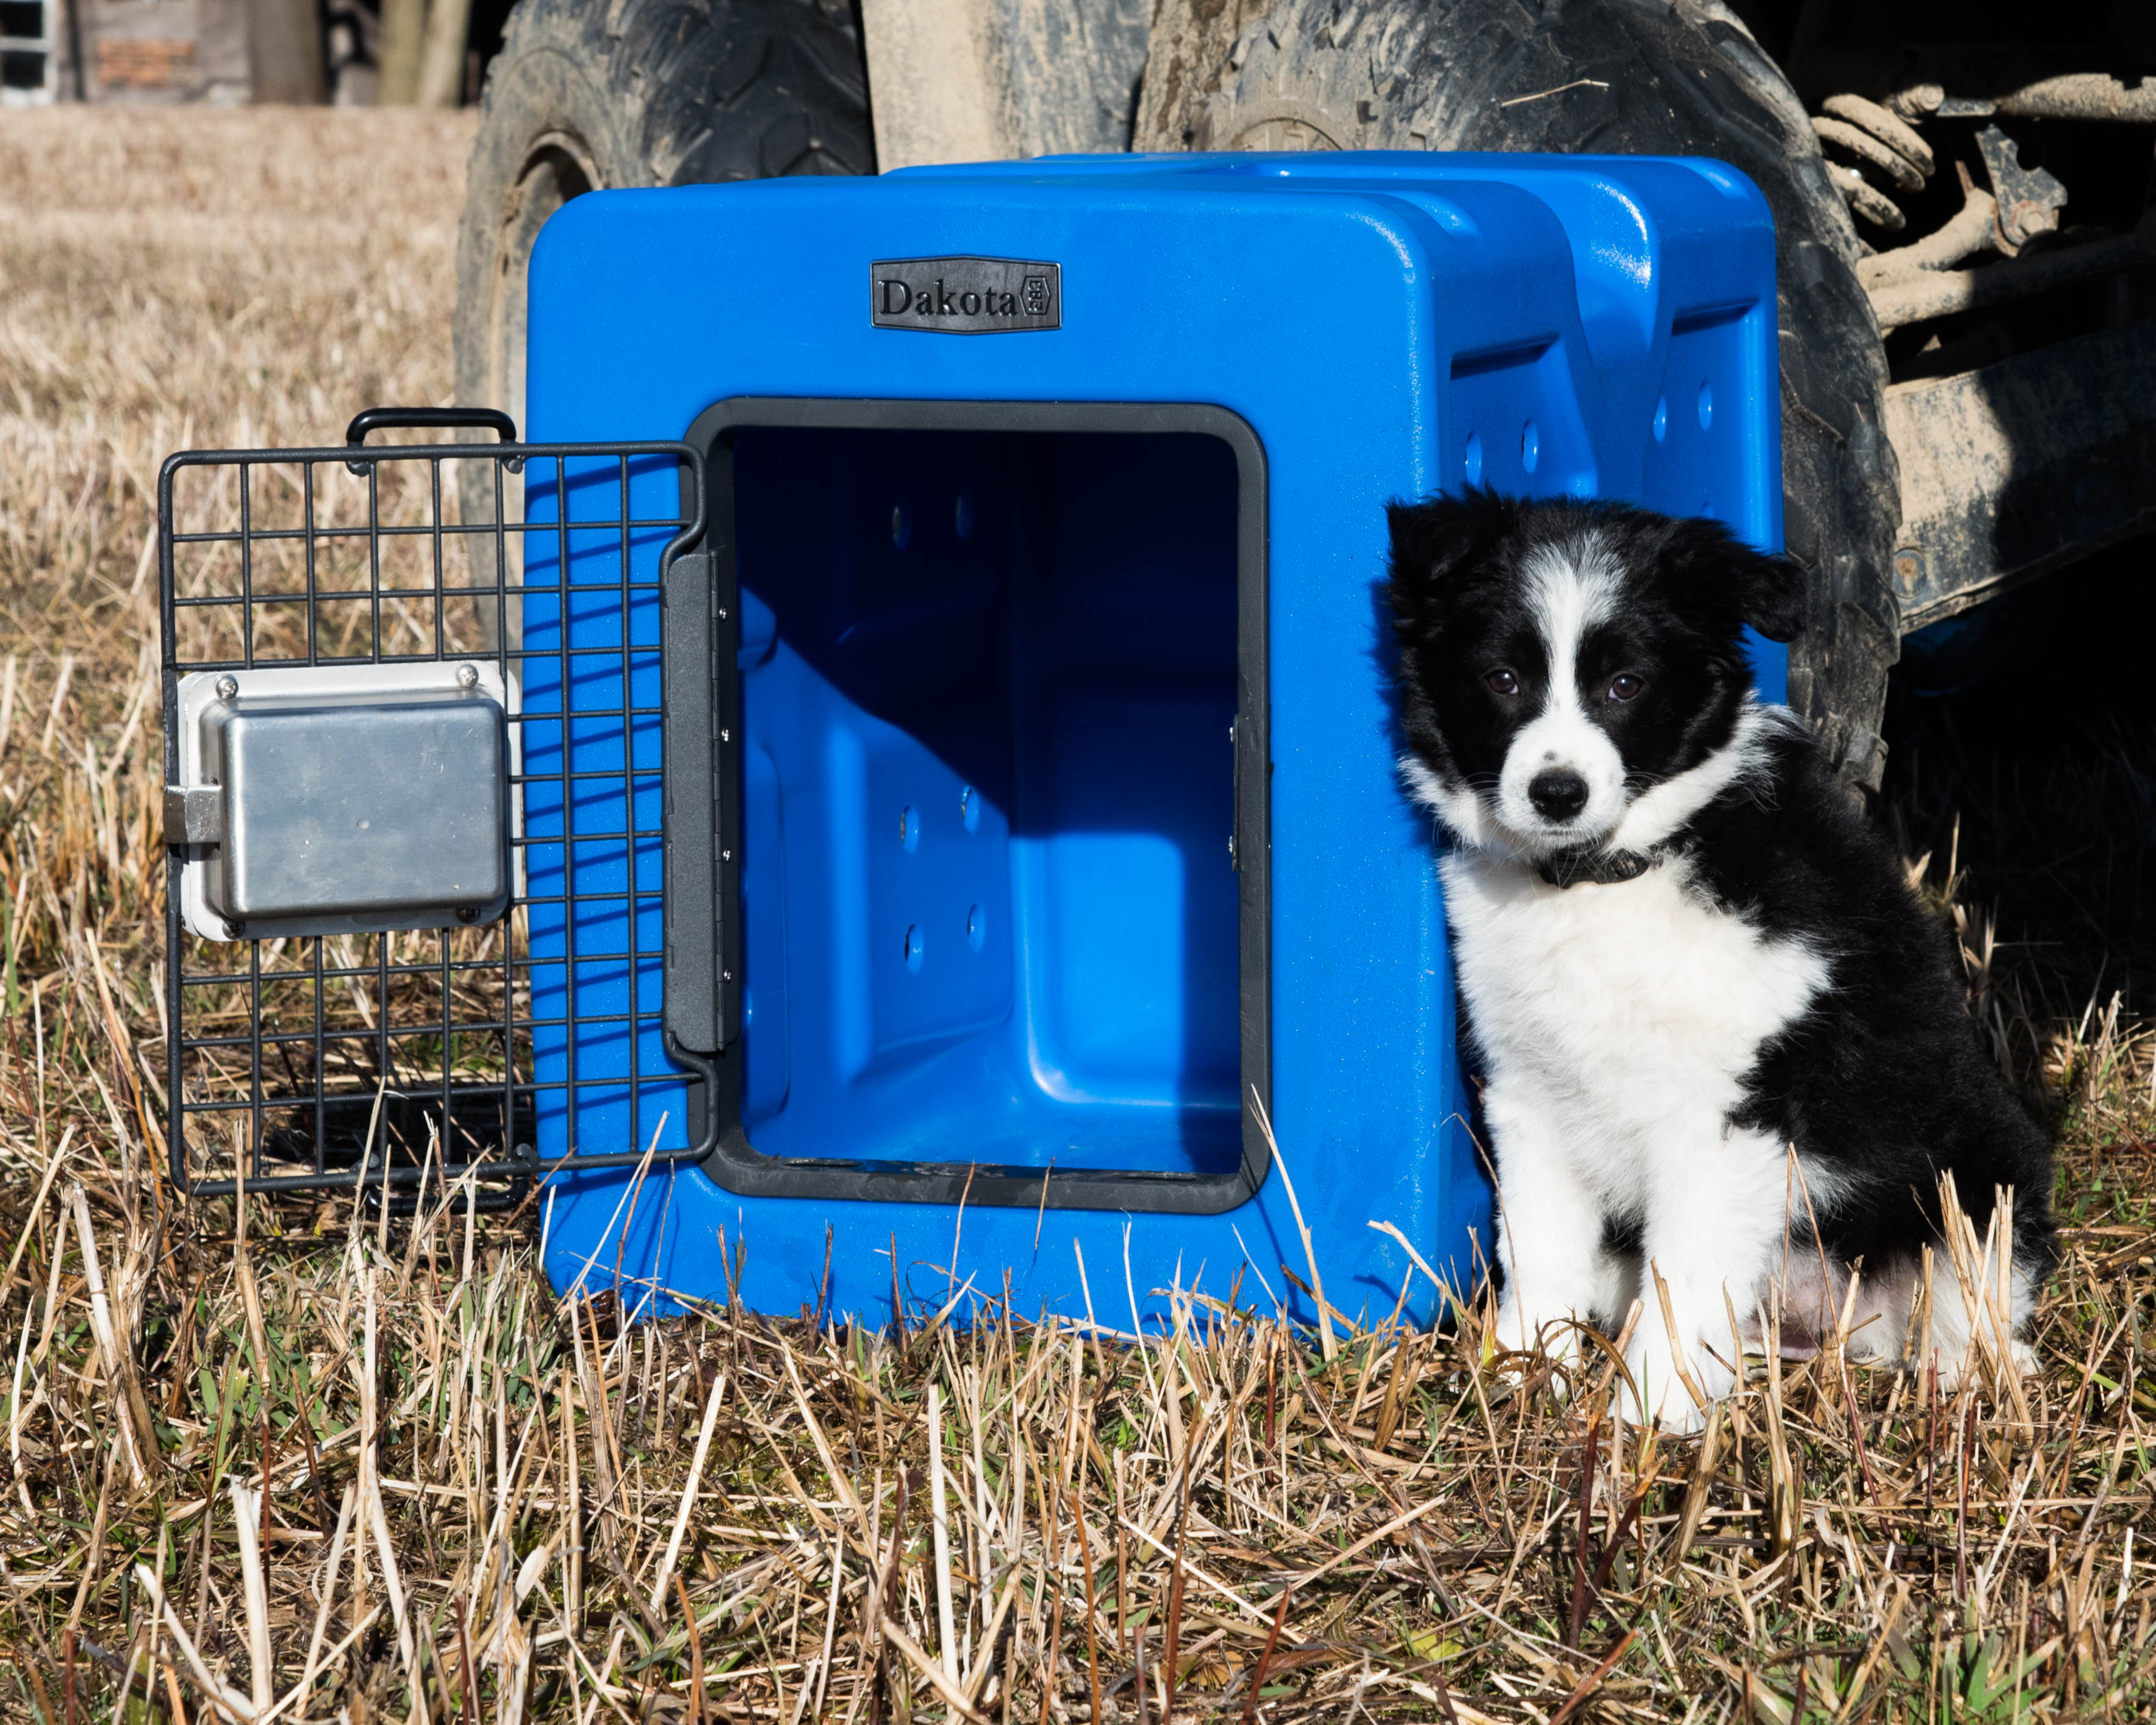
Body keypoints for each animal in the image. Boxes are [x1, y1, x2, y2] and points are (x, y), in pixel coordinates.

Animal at [1380, 485, 2052, 1431]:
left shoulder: (1731, 1116)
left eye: (1626, 685)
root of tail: (1811, 1325)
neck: (1608, 878)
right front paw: (1521, 1378)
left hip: (1984, 1186)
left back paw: (1966, 1381)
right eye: (1501, 680)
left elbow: (1686, 1273)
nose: (1557, 794)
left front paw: (1651, 1419)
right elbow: (1540, 1242)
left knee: (1973, 1307)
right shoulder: (1528, 1090)